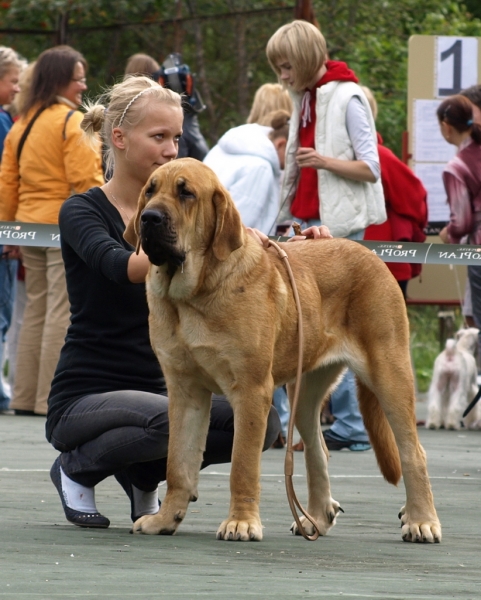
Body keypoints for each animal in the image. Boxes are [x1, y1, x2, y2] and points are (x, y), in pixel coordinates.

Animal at [125, 157, 440, 540]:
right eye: (150, 190)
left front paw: (241, 522)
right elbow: (178, 464)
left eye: (186, 193)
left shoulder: (251, 391)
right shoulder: (186, 392)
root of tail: (371, 255)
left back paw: (421, 520)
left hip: (389, 375)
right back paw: (316, 517)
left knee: (413, 451)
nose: (150, 218)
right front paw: (165, 518)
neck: (194, 293)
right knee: (317, 450)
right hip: (304, 391)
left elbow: (243, 464)